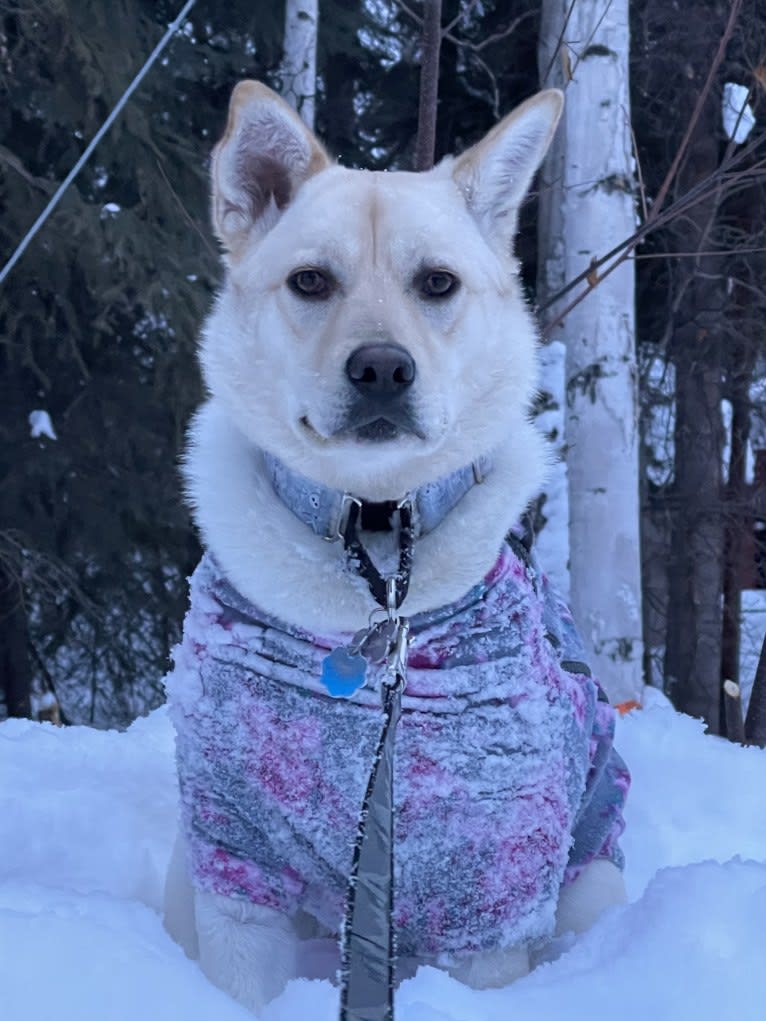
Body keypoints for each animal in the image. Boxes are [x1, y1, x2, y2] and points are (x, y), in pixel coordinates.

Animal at [163, 81, 629, 1012]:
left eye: (437, 282)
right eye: (310, 280)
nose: (382, 368)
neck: (373, 548)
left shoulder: (492, 883)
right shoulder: (234, 863)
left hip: (595, 877)